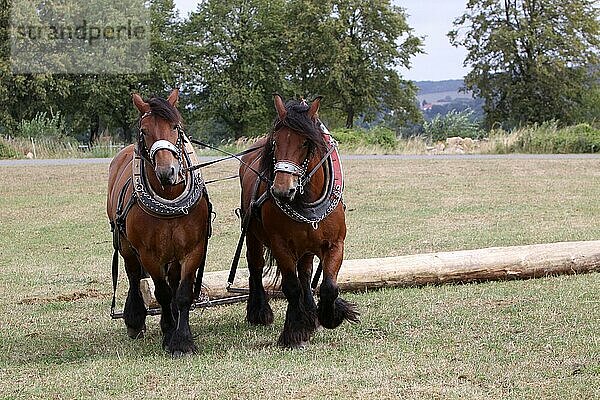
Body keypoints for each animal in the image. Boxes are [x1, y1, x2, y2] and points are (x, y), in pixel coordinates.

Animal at [108, 89, 211, 354]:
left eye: (175, 127)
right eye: (144, 130)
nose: (168, 172)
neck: (170, 198)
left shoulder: (193, 249)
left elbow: (182, 293)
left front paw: (183, 338)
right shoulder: (148, 254)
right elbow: (161, 292)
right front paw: (168, 332)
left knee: (172, 280)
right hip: (126, 246)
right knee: (134, 276)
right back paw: (134, 319)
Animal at [238, 95, 360, 348]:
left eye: (305, 142)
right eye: (275, 142)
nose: (283, 190)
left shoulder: (335, 244)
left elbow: (328, 286)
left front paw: (329, 316)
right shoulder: (280, 245)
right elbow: (291, 287)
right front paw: (294, 331)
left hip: (306, 247)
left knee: (305, 273)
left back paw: (311, 314)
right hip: (253, 234)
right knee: (255, 265)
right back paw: (259, 311)